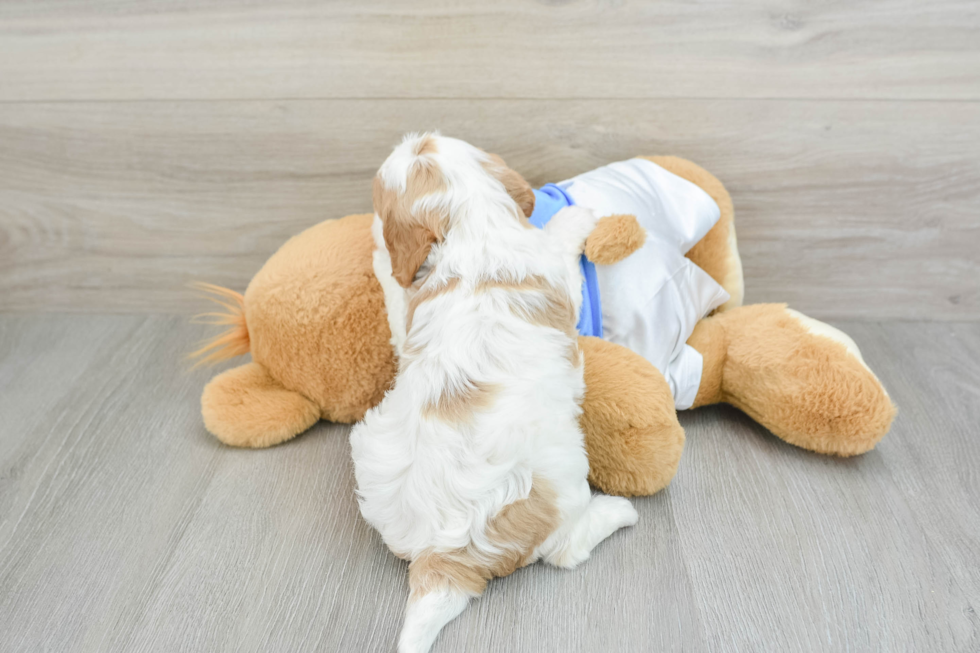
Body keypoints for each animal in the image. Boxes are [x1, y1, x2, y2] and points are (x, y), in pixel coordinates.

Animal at [348, 132, 640, 652]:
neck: (471, 222)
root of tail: (442, 554)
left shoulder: (408, 313)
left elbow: (394, 292)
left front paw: (380, 253)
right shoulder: (556, 271)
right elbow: (562, 244)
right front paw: (576, 218)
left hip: (371, 440)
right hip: (562, 478)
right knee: (566, 550)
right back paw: (618, 512)